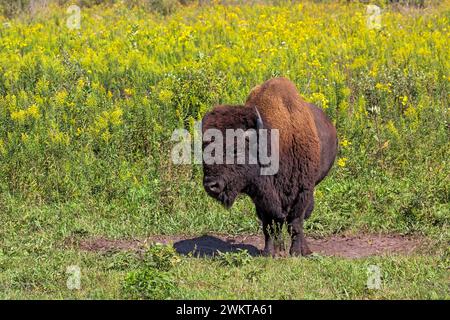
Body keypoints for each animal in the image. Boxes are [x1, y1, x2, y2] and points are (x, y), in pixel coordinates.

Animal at [201, 78, 338, 258]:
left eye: (236, 149)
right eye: (203, 149)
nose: (211, 185)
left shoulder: (303, 191)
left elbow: (295, 223)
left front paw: (296, 252)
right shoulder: (261, 197)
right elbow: (270, 226)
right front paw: (270, 252)